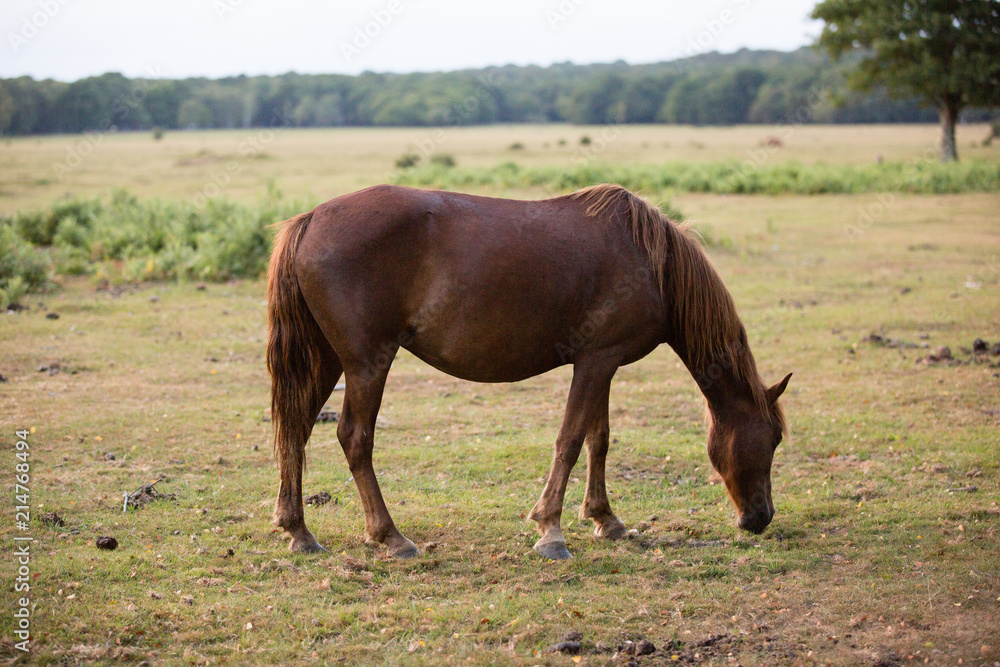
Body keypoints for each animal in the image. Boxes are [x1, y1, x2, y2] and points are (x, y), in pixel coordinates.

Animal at [264, 181, 788, 560]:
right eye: (774, 438)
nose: (761, 517)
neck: (651, 264)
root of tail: (311, 219)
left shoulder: (602, 363)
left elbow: (598, 439)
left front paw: (605, 519)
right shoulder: (596, 362)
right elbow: (571, 441)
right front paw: (551, 531)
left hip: (327, 359)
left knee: (295, 430)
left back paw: (299, 532)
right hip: (367, 362)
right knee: (354, 438)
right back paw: (390, 536)